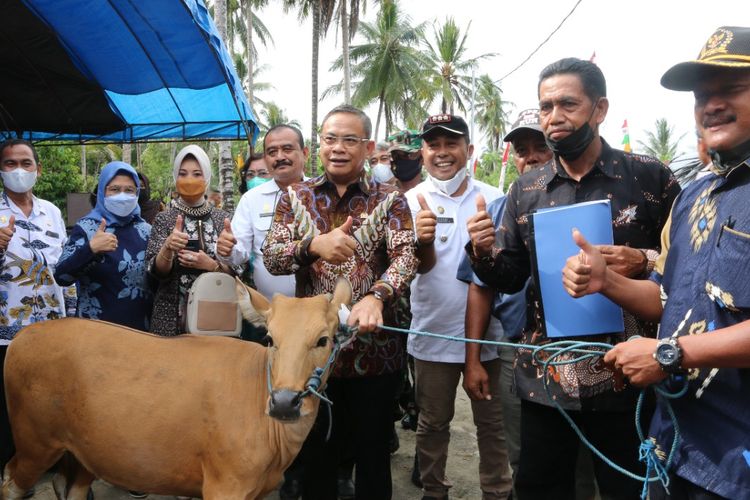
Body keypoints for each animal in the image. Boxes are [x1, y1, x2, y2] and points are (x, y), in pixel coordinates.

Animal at [1, 280, 354, 498]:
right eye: (270, 338)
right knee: (9, 480)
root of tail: (23, 335)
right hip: (34, 442)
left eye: (323, 339)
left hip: (84, 452)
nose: (284, 402)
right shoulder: (225, 485)